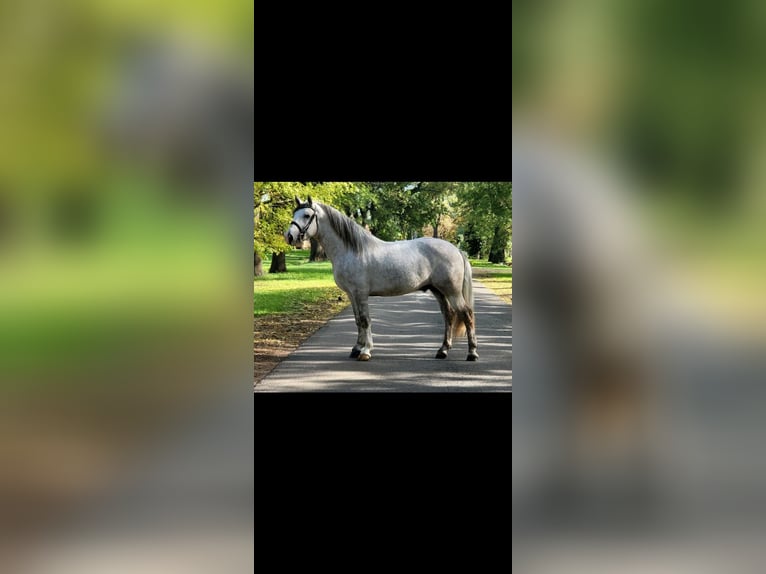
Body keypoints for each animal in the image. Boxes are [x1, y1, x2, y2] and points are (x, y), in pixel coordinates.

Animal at [288, 197, 480, 360]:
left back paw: (472, 353)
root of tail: (456, 249)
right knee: (449, 316)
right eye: (294, 213)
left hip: (452, 292)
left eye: (307, 215)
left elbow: (365, 320)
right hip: (439, 291)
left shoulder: (360, 293)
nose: (290, 236)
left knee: (466, 314)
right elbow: (357, 320)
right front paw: (356, 348)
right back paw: (443, 350)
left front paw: (365, 351)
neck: (351, 250)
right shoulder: (351, 294)